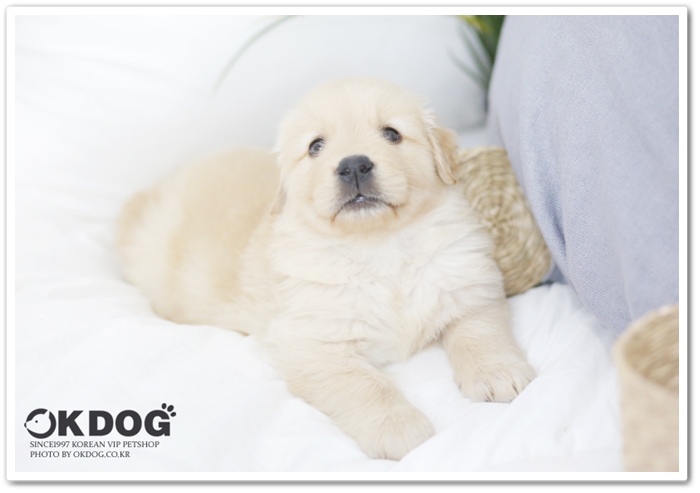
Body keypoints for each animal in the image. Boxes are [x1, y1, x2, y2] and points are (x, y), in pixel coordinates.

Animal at [117, 77, 536, 460]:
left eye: (392, 134)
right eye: (315, 146)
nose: (353, 165)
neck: (379, 246)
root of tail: (153, 190)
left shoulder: (468, 285)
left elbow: (480, 333)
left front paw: (497, 374)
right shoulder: (315, 344)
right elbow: (364, 385)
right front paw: (397, 427)